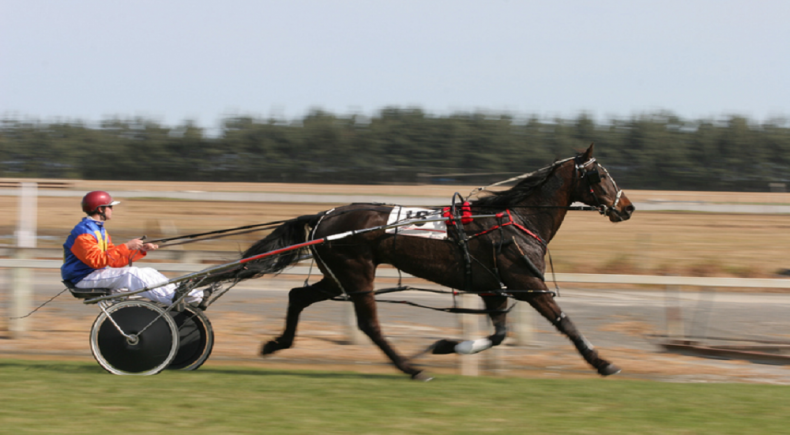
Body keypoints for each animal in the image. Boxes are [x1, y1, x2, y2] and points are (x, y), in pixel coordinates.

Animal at [226, 145, 636, 380]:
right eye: (600, 174)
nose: (628, 207)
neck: (515, 220)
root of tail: (326, 214)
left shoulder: (491, 287)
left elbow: (500, 333)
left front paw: (447, 346)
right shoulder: (526, 281)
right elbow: (564, 322)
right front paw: (603, 363)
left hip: (336, 275)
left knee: (297, 296)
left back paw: (275, 344)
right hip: (356, 272)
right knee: (369, 324)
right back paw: (411, 368)